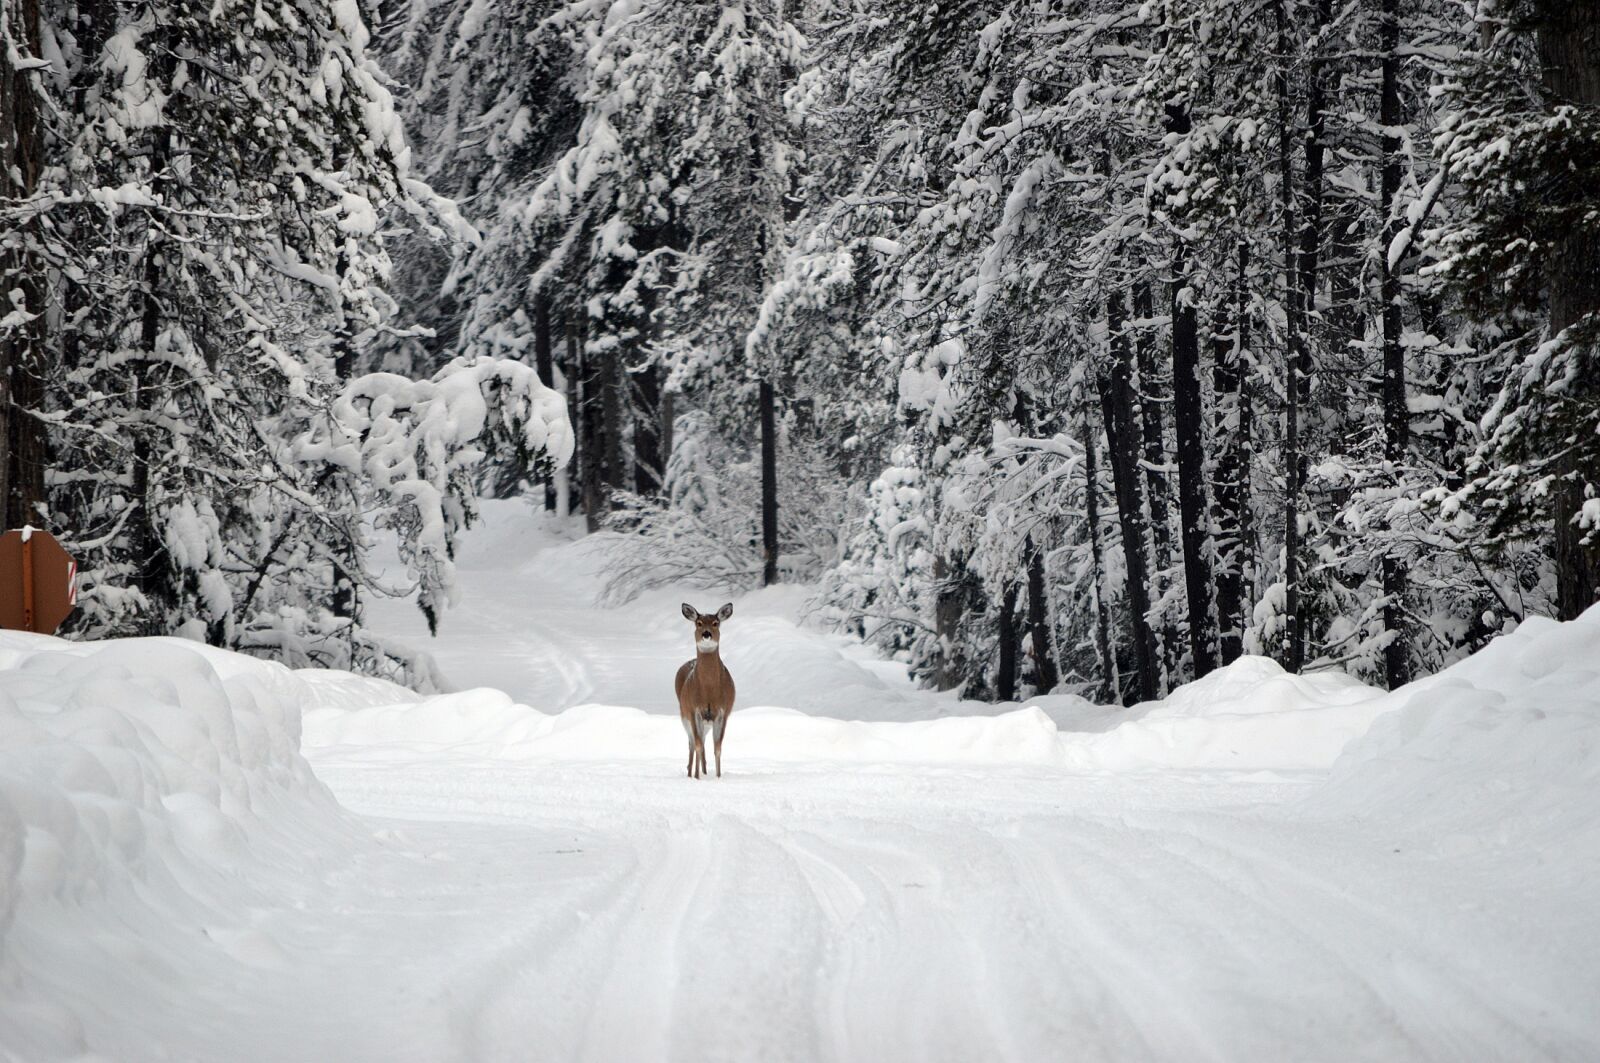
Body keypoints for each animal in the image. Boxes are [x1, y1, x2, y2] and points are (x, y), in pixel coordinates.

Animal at [675, 602, 735, 779]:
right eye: (699, 623)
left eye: (716, 623)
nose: (706, 634)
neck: (709, 691)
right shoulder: (694, 710)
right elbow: (697, 745)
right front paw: (696, 777)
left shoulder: (723, 711)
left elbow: (718, 748)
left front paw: (718, 776)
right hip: (684, 715)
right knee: (693, 743)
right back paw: (691, 772)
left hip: (706, 721)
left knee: (701, 742)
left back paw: (704, 771)